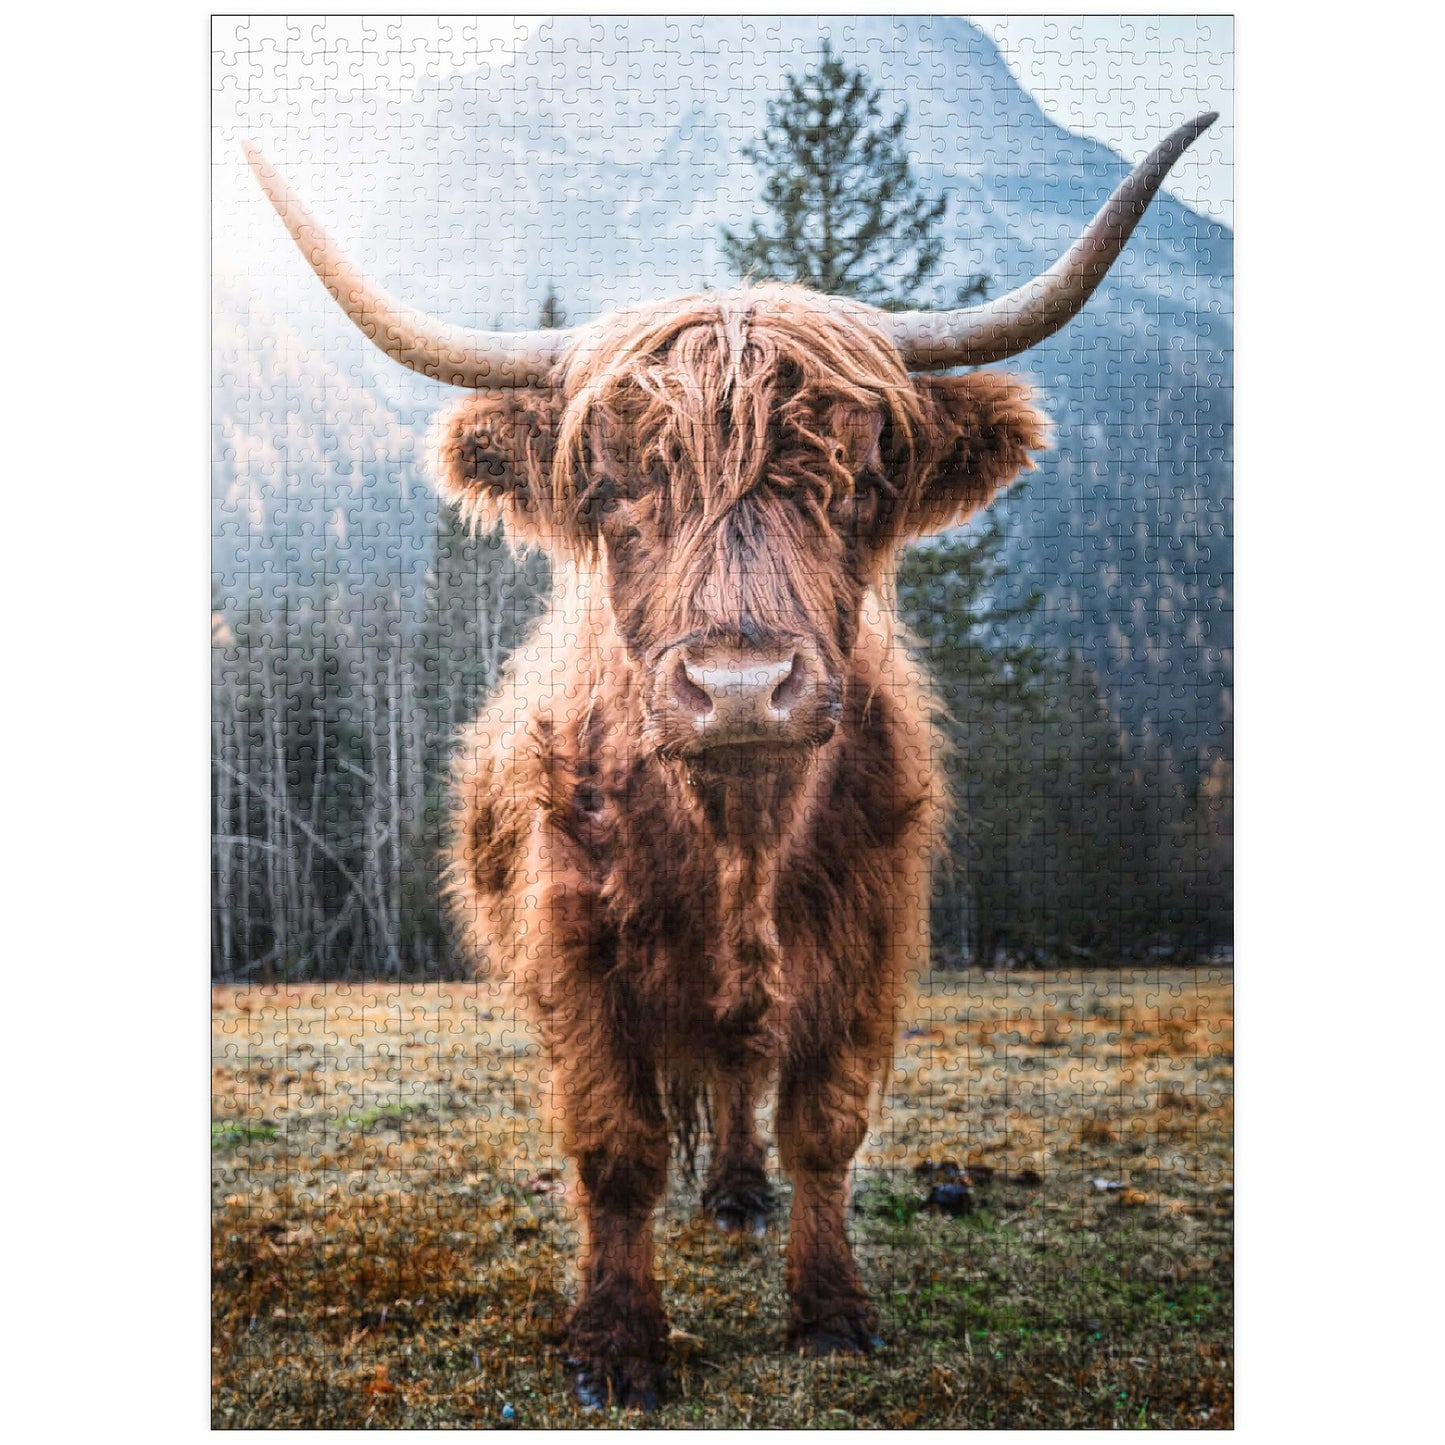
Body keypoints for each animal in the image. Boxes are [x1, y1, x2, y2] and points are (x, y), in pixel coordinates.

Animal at [246, 112, 1214, 1410]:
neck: (737, 835)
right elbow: (614, 1147)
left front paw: (832, 1309)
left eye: (855, 481)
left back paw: (741, 1194)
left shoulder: (865, 944)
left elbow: (824, 1125)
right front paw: (615, 1344)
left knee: (741, 1076)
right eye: (613, 488)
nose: (741, 688)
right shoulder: (576, 952)